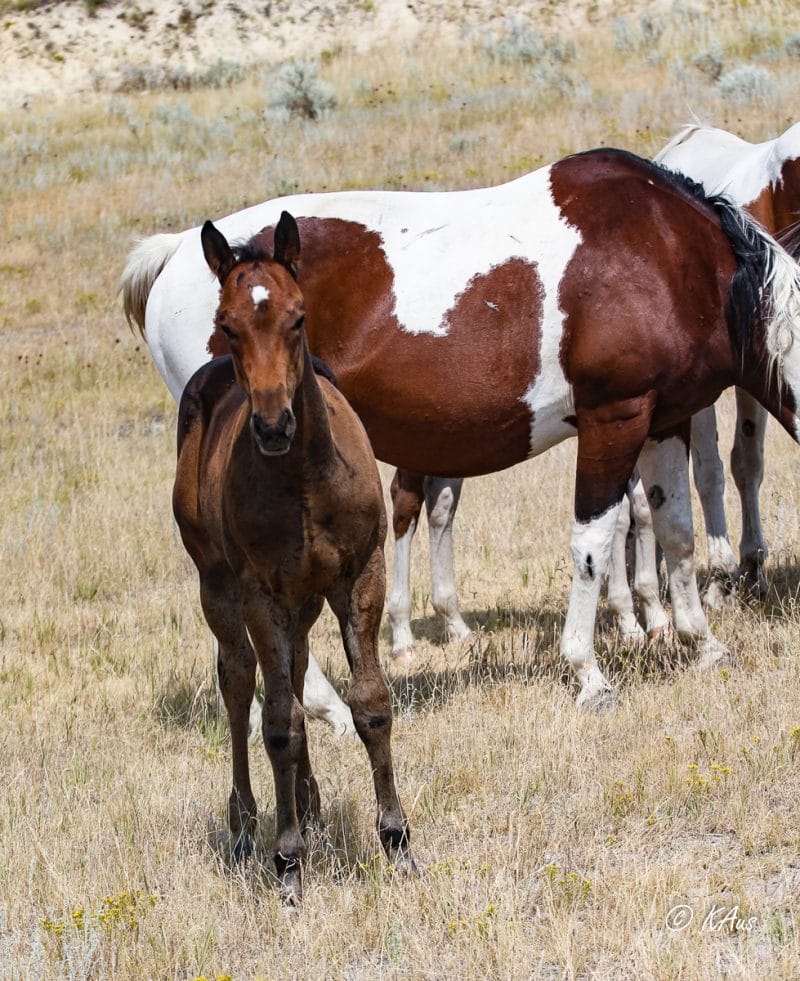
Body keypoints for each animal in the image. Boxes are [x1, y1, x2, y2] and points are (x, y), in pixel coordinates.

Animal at [120, 149, 800, 704]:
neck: (666, 253)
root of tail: (177, 254)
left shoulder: (667, 419)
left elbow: (676, 531)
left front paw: (702, 644)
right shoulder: (615, 419)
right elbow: (592, 543)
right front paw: (587, 671)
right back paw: (329, 710)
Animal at [173, 212, 416, 904]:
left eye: (299, 317)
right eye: (227, 324)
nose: (274, 425)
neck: (306, 481)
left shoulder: (362, 575)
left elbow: (371, 704)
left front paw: (398, 843)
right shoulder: (260, 592)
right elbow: (277, 721)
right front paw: (288, 864)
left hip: (305, 601)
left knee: (300, 673)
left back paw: (308, 806)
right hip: (221, 589)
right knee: (239, 684)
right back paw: (250, 828)